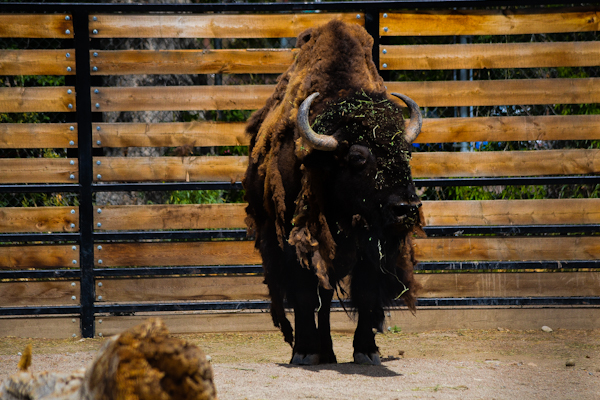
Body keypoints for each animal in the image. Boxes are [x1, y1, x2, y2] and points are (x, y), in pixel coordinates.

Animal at [241, 19, 424, 366]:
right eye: (357, 157)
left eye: (407, 153)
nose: (406, 208)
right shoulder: (297, 242)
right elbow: (303, 295)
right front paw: (303, 351)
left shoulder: (368, 246)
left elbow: (365, 292)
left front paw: (367, 350)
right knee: (317, 298)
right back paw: (316, 350)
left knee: (325, 299)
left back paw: (327, 350)